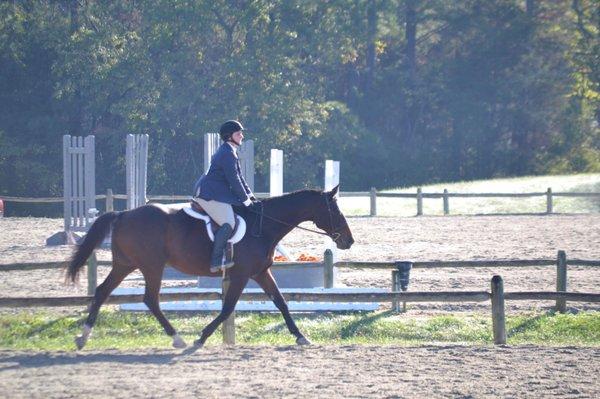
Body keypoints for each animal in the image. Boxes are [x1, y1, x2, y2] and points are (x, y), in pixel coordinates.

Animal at [67, 187, 354, 350]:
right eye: (335, 210)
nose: (348, 241)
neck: (264, 225)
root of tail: (123, 214)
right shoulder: (241, 275)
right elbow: (227, 308)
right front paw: (201, 337)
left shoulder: (260, 273)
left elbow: (281, 302)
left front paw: (301, 337)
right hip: (151, 266)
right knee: (150, 299)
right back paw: (177, 338)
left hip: (125, 264)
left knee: (102, 291)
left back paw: (83, 337)